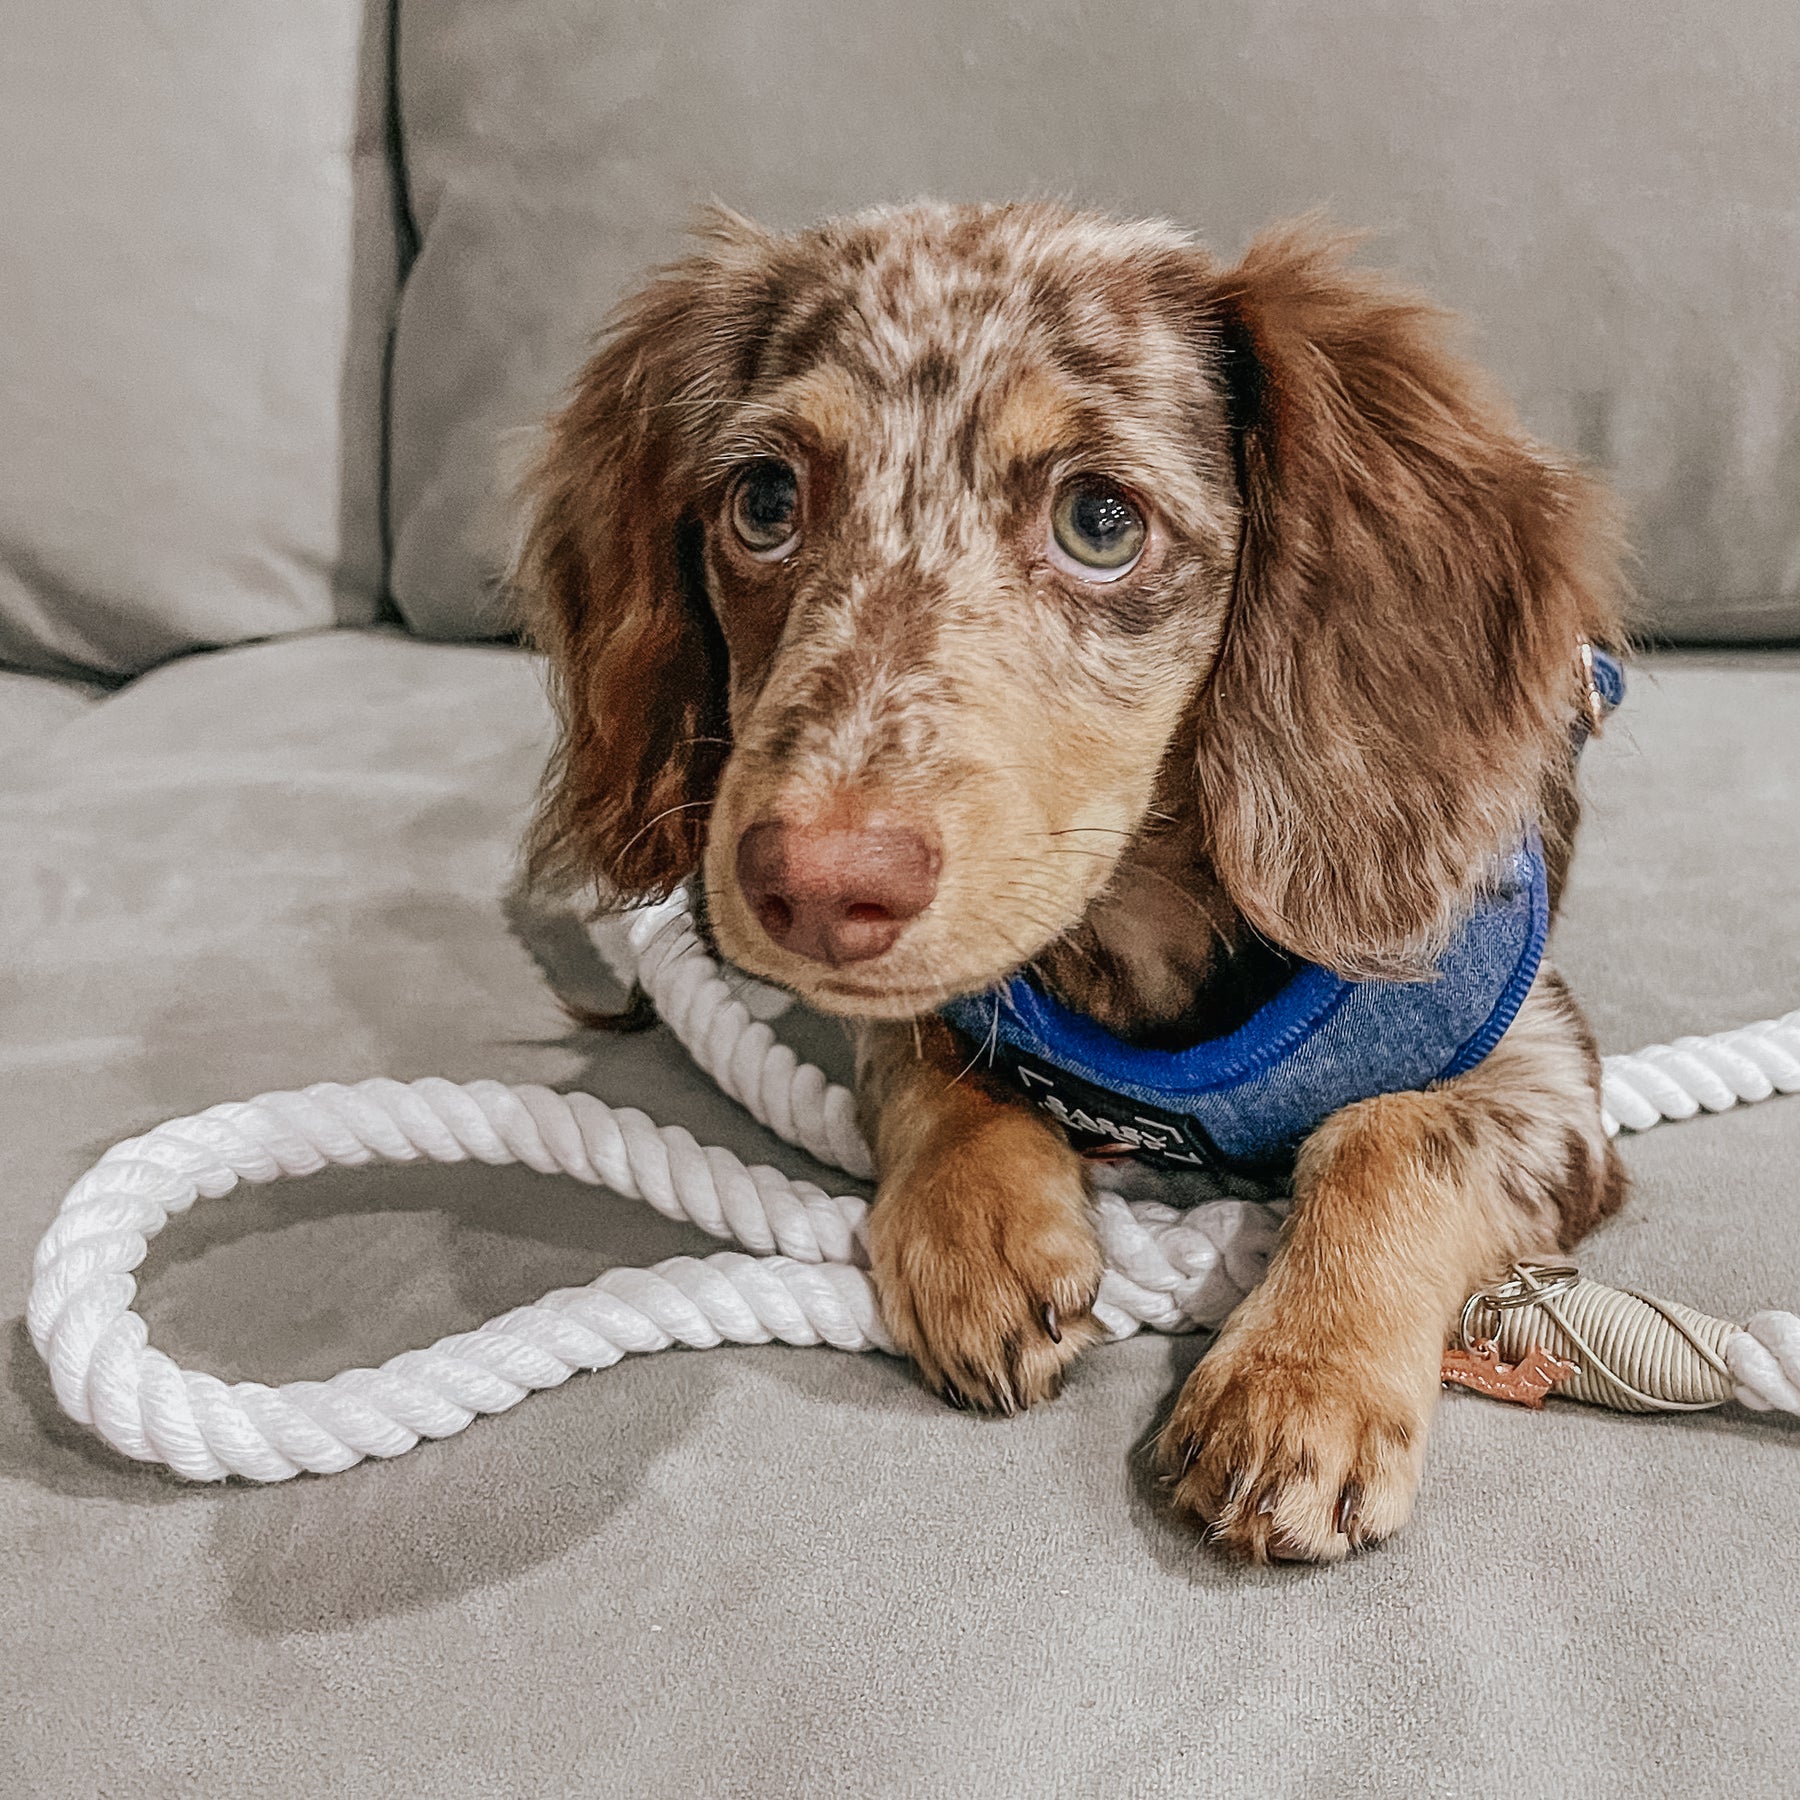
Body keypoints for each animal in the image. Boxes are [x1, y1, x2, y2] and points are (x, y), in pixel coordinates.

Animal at [514, 200, 1627, 1562]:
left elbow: (1397, 1134)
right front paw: (977, 1224)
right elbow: (927, 1054)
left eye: (1101, 523)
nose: (814, 891)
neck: (1146, 925)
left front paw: (1302, 1381)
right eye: (766, 500)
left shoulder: (1545, 1071)